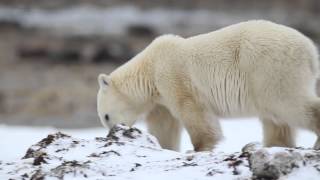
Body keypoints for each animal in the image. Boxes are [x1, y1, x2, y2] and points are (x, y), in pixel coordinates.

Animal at [97, 20, 320, 152]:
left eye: (106, 116)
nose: (112, 134)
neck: (149, 69)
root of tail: (311, 50)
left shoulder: (174, 75)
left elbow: (193, 111)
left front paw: (200, 147)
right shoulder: (160, 99)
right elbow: (164, 125)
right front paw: (166, 147)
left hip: (269, 66)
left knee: (285, 103)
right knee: (274, 117)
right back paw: (275, 144)